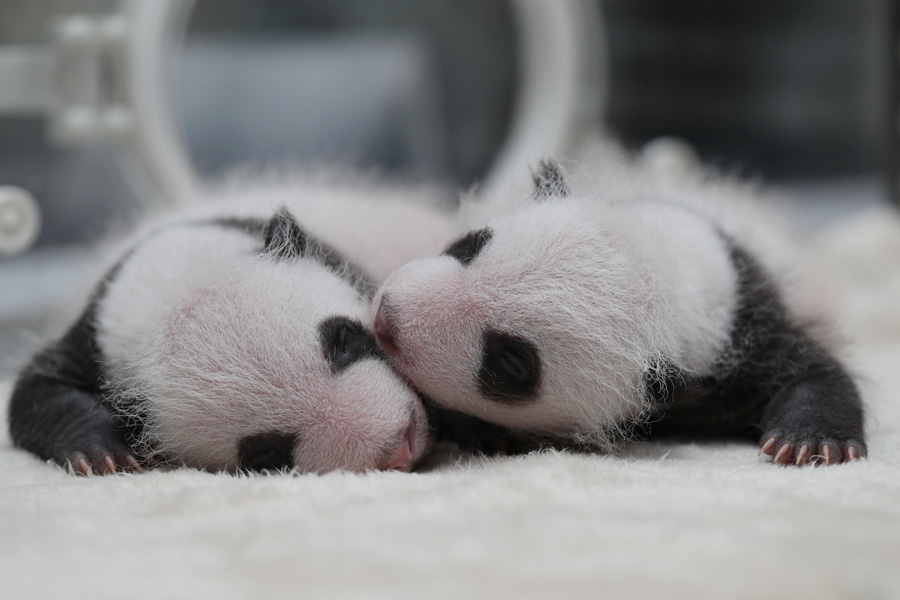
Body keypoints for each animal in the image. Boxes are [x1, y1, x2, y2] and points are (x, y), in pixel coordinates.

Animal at [9, 178, 454, 474]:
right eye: (265, 453)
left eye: (342, 340)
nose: (399, 446)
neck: (170, 288)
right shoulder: (97, 338)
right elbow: (32, 393)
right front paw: (104, 453)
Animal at [372, 158, 864, 464]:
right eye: (468, 245)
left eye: (509, 360)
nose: (387, 321)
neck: (670, 274)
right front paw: (484, 431)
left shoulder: (743, 326)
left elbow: (811, 369)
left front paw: (810, 442)